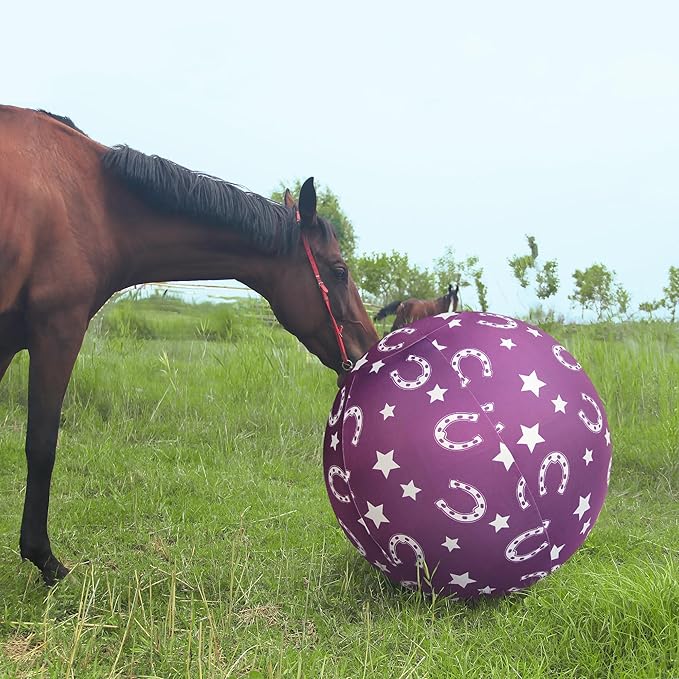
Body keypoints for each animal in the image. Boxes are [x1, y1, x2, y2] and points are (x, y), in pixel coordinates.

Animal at [0, 105, 378, 584]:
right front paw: (45, 559)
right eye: (340, 271)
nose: (370, 347)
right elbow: (42, 444)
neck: (91, 205)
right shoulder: (57, 332)